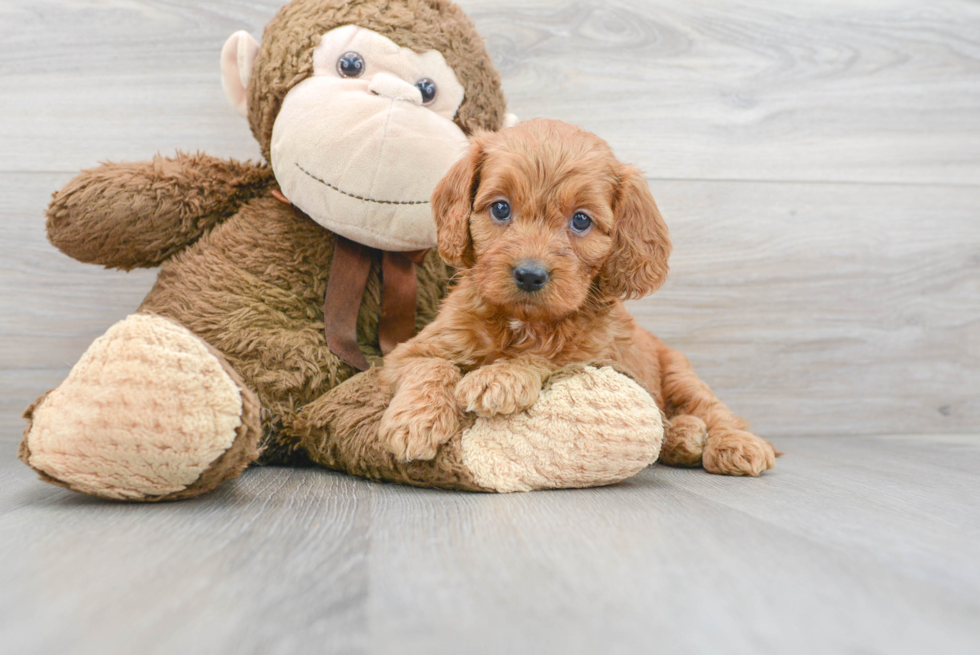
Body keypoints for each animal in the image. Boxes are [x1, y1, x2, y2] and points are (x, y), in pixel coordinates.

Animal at [378, 119, 776, 476]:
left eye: (581, 220)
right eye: (501, 208)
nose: (530, 274)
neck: (524, 322)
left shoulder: (595, 358)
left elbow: (550, 357)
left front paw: (500, 377)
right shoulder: (408, 353)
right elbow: (432, 366)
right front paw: (416, 423)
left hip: (679, 373)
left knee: (715, 411)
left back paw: (733, 444)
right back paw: (683, 437)